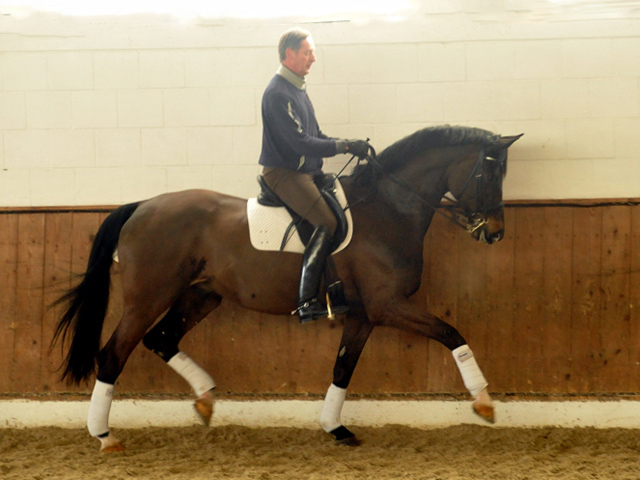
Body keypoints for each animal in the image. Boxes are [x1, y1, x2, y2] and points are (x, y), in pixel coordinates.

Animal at [50, 124, 520, 450]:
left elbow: (343, 368)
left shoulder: (364, 314)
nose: (496, 233)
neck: (388, 208)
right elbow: (451, 333)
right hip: (149, 297)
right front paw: (484, 402)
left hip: (202, 293)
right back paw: (105, 435)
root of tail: (141, 206)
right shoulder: (387, 305)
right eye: (489, 174)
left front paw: (335, 427)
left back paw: (204, 399)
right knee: (114, 353)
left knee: (161, 339)